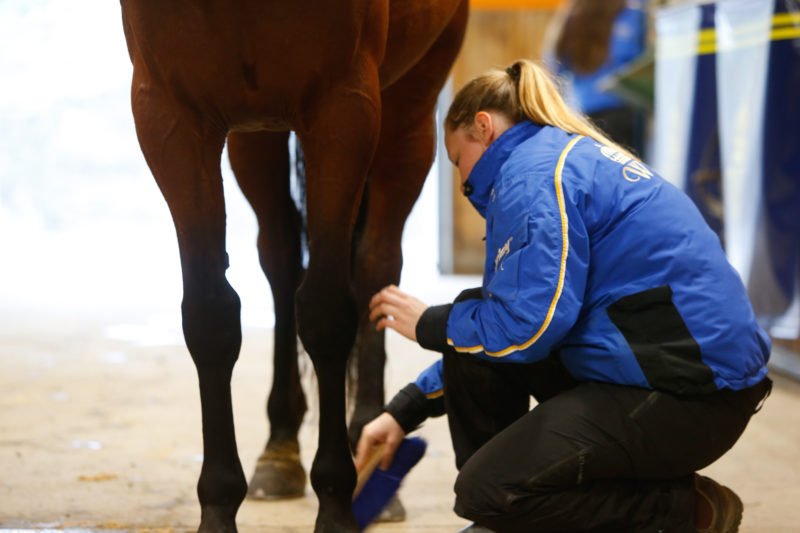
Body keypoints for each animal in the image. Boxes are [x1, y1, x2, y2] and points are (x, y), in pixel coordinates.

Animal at [119, 2, 468, 528]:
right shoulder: (169, 116)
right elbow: (210, 316)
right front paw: (218, 507)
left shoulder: (344, 110)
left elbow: (326, 313)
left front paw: (337, 505)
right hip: (256, 136)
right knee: (281, 260)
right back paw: (279, 450)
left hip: (410, 106)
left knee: (377, 263)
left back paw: (368, 435)